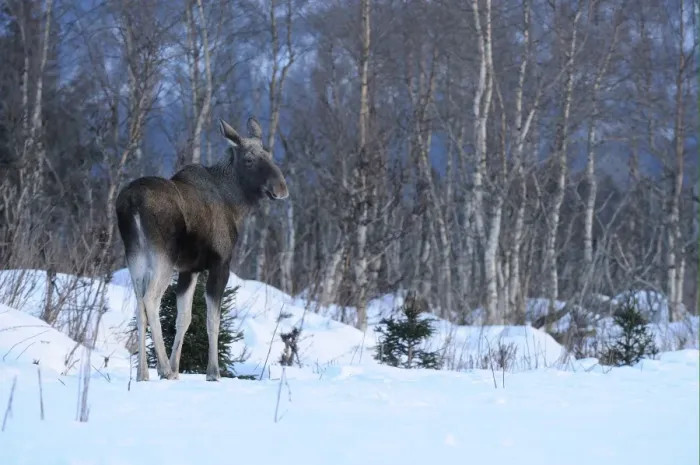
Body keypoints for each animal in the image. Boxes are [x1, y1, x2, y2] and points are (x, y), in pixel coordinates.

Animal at [115, 117, 289, 382]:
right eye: (249, 159)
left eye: (268, 154)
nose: (281, 188)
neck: (236, 205)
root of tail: (130, 203)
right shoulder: (220, 264)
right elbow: (213, 320)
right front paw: (212, 372)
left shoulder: (190, 270)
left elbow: (184, 318)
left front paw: (177, 369)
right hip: (162, 259)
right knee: (150, 301)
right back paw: (162, 368)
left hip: (135, 258)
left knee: (138, 306)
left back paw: (142, 373)